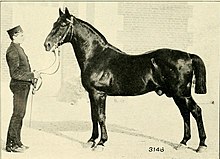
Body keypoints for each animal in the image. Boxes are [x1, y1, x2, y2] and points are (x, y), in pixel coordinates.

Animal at [43, 8, 207, 152]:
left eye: (63, 24)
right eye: (54, 23)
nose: (47, 45)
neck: (96, 56)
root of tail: (188, 55)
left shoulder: (99, 94)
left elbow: (101, 117)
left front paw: (101, 143)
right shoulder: (91, 94)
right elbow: (93, 116)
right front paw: (91, 140)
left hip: (182, 94)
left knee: (196, 111)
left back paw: (202, 145)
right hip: (176, 95)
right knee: (185, 113)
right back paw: (183, 142)